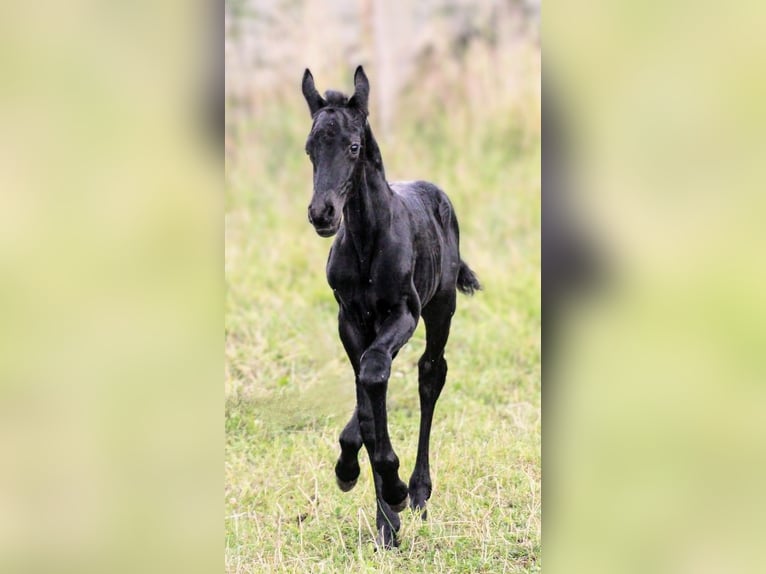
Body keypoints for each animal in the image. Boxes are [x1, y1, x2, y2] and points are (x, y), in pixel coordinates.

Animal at [301, 65, 480, 548]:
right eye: (309, 148)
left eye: (353, 146)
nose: (322, 214)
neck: (367, 242)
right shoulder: (350, 319)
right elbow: (366, 398)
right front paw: (362, 487)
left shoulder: (403, 312)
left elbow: (374, 375)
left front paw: (396, 493)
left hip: (440, 308)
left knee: (430, 374)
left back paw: (416, 491)